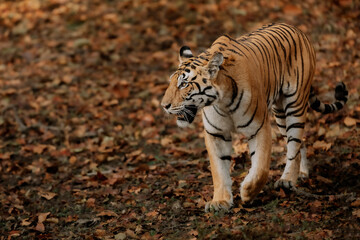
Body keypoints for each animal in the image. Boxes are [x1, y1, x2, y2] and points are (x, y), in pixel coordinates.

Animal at [161, 22, 348, 210]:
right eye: (171, 82)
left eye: (184, 84)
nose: (164, 106)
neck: (222, 101)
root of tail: (295, 28)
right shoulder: (216, 133)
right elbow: (218, 169)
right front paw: (220, 201)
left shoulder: (259, 127)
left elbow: (261, 168)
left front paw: (247, 192)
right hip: (280, 114)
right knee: (298, 142)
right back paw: (301, 173)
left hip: (294, 106)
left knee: (294, 142)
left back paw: (287, 180)